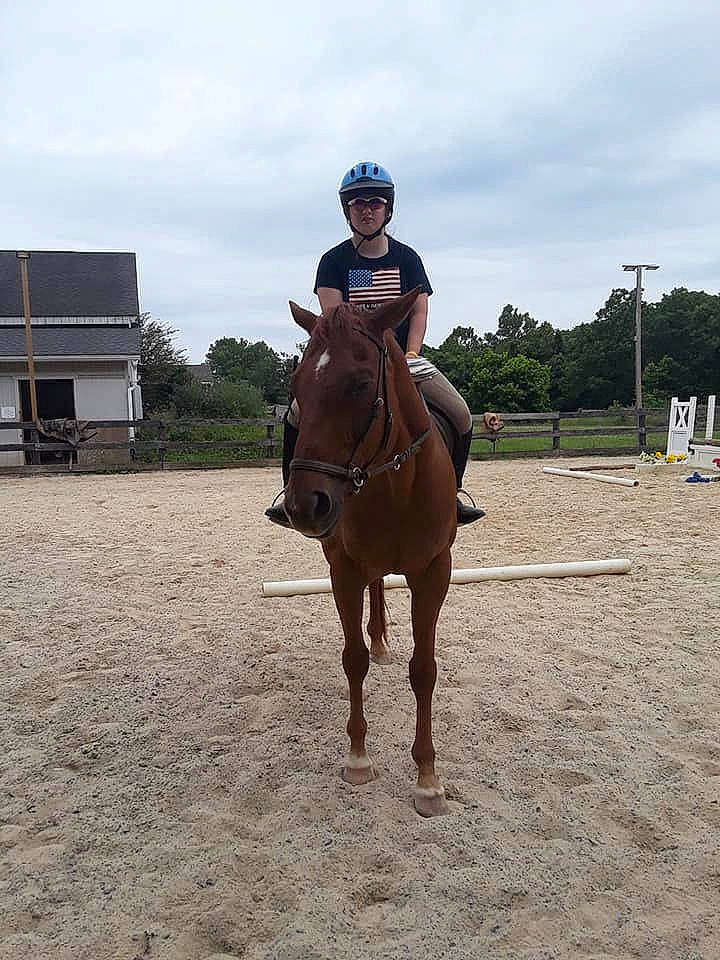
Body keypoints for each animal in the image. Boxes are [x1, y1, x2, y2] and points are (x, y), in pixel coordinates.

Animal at [285, 287, 458, 817]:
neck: (393, 484)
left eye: (361, 384)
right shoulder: (342, 570)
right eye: (297, 385)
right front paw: (358, 758)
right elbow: (353, 659)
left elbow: (424, 670)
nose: (305, 505)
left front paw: (427, 781)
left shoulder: (434, 572)